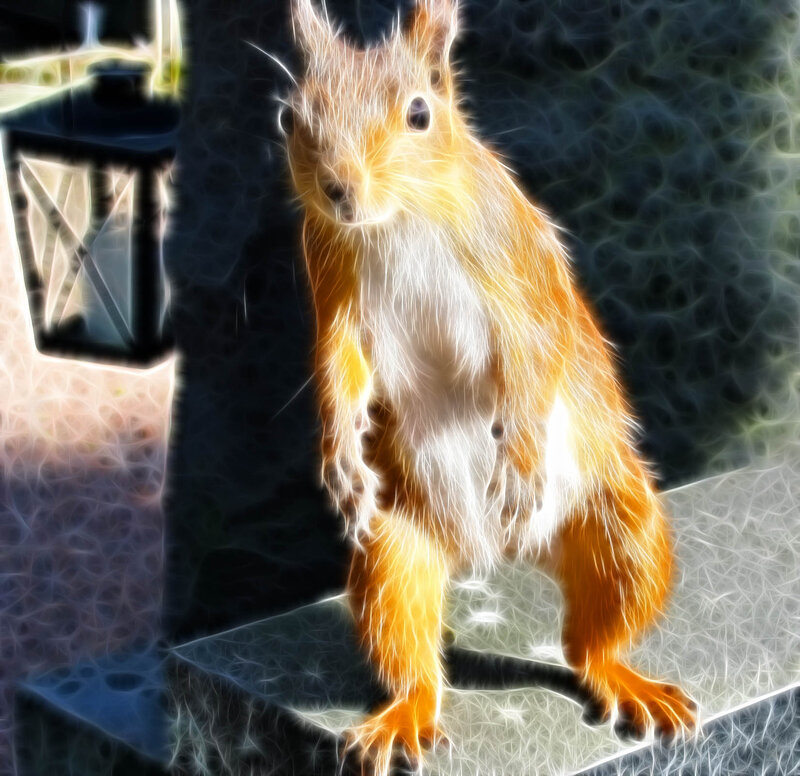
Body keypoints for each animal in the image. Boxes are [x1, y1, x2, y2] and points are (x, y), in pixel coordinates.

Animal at [279, 0, 697, 772]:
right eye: (292, 117)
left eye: (421, 113)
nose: (340, 191)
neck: (402, 220)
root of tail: (498, 554)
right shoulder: (334, 274)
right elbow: (337, 369)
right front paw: (340, 456)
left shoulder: (513, 266)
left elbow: (532, 353)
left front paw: (521, 462)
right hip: (393, 552)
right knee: (412, 650)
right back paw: (406, 713)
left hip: (623, 526)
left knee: (589, 643)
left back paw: (625, 679)